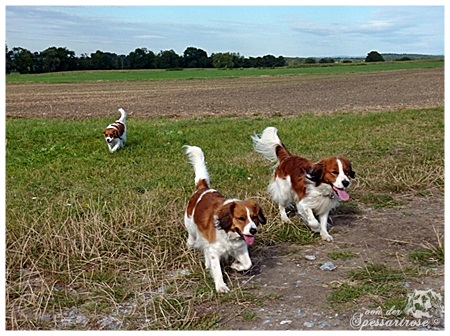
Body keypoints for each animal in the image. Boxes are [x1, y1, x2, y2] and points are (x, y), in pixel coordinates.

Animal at [184, 146, 266, 292]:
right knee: (192, 238)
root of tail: (203, 188)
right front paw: (221, 285)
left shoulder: (240, 247)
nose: (253, 231)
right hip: (191, 226)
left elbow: (248, 263)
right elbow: (217, 270)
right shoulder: (214, 250)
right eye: (241, 218)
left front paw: (236, 266)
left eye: (254, 217)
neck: (228, 232)